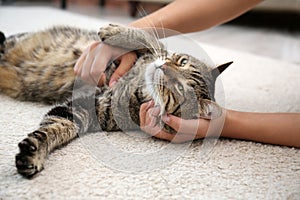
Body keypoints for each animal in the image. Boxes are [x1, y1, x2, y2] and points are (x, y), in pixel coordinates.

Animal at [0, 23, 232, 178]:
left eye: (179, 89)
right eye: (182, 62)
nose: (163, 69)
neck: (140, 86)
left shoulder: (86, 110)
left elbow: (55, 128)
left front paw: (33, 153)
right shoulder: (150, 53)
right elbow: (148, 38)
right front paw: (113, 29)